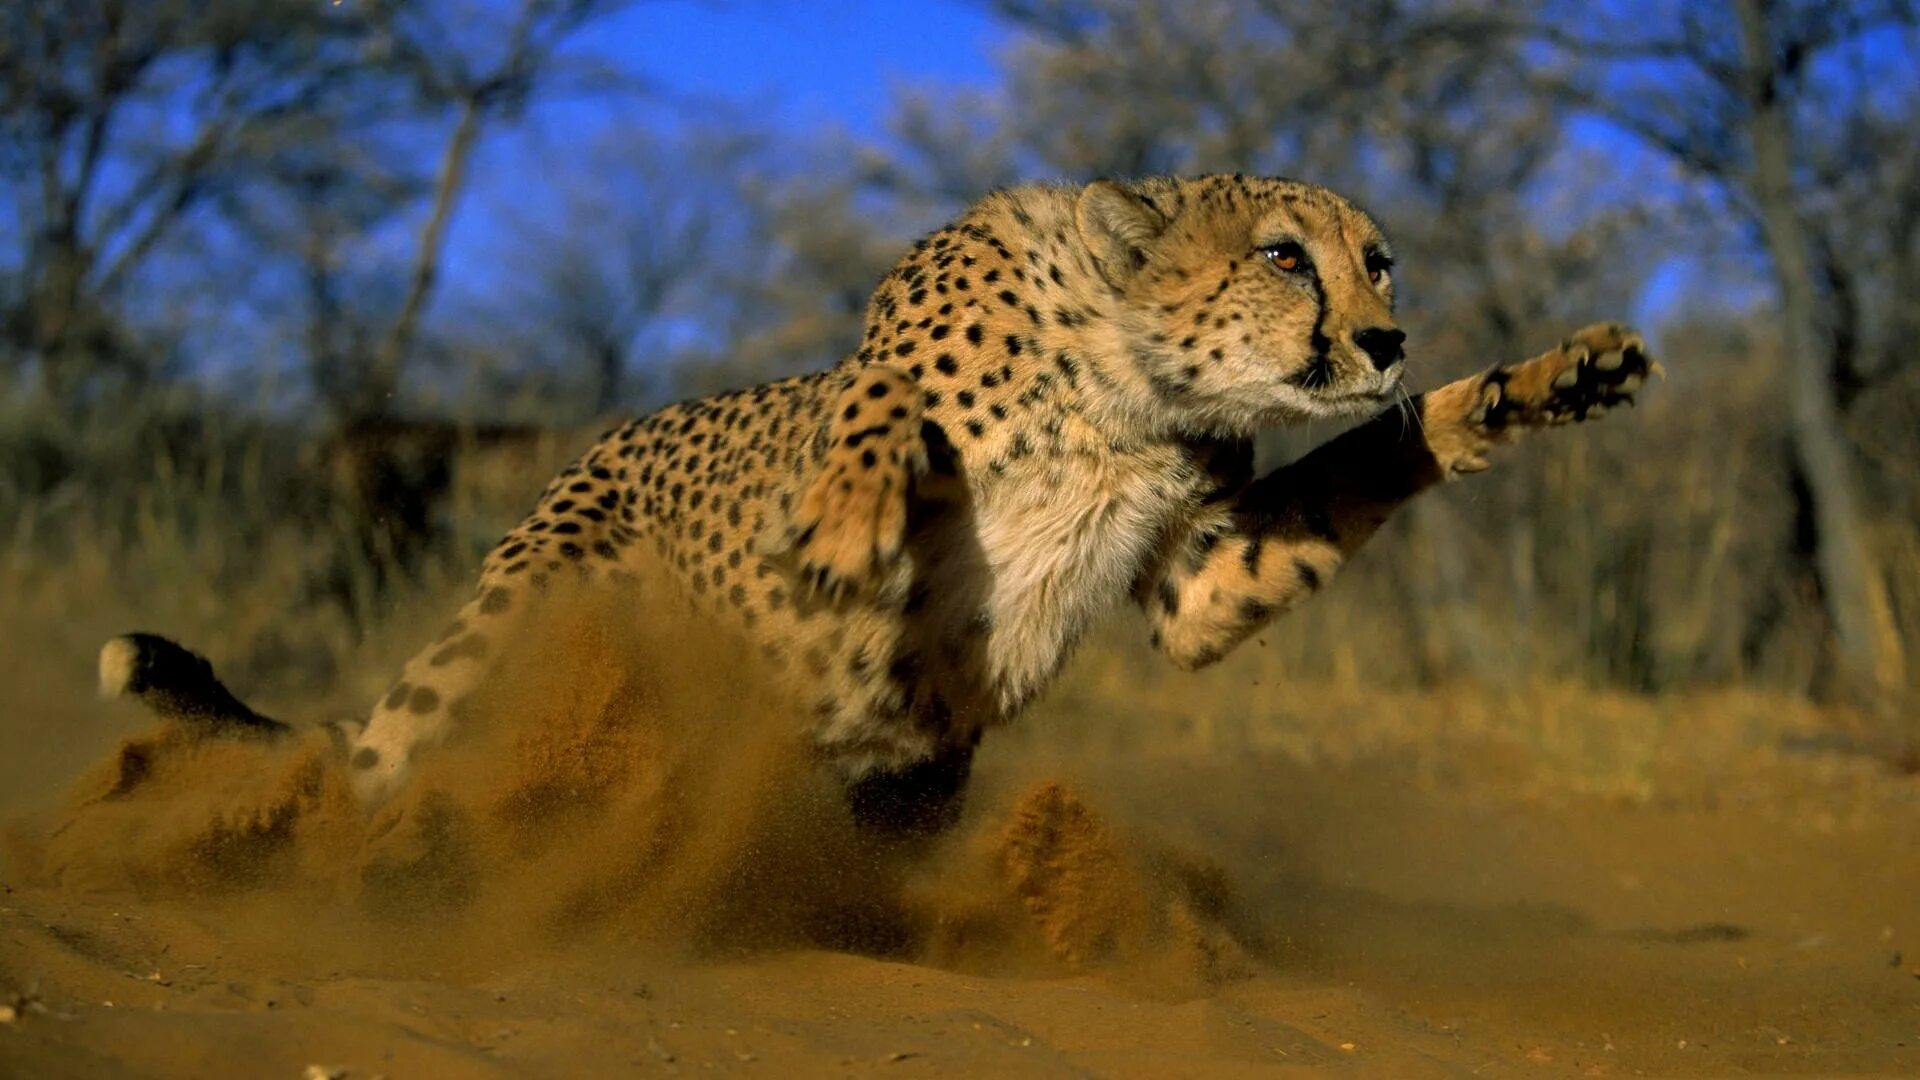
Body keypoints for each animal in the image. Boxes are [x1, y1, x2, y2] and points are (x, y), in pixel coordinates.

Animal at [105, 174, 1658, 834]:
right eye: (1284, 256)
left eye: (1378, 262)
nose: (1388, 337)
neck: (1126, 387)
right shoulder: (881, 359)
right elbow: (876, 409)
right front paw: (853, 524)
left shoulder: (1201, 579)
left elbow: (1375, 461)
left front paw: (1540, 383)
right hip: (521, 617)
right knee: (384, 760)